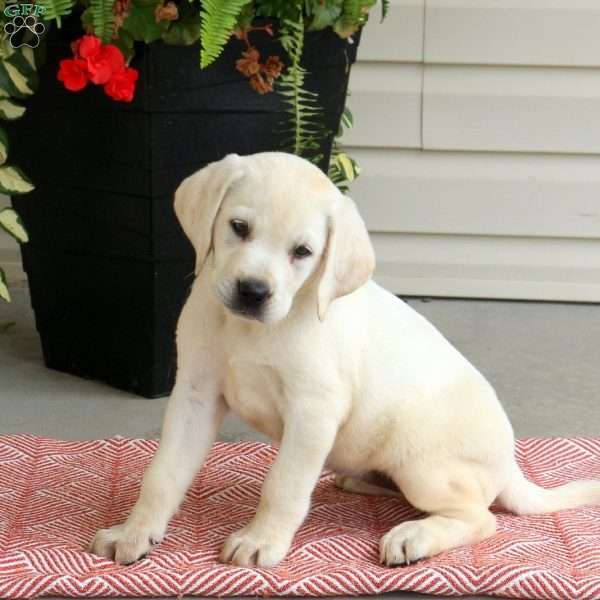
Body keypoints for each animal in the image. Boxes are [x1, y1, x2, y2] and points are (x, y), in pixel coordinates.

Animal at [89, 150, 600, 568]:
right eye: (239, 228)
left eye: (302, 252)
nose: (253, 291)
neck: (255, 331)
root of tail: (510, 462)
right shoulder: (195, 393)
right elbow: (162, 473)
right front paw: (134, 532)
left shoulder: (313, 412)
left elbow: (283, 484)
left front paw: (260, 541)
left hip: (425, 467)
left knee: (480, 517)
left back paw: (414, 536)